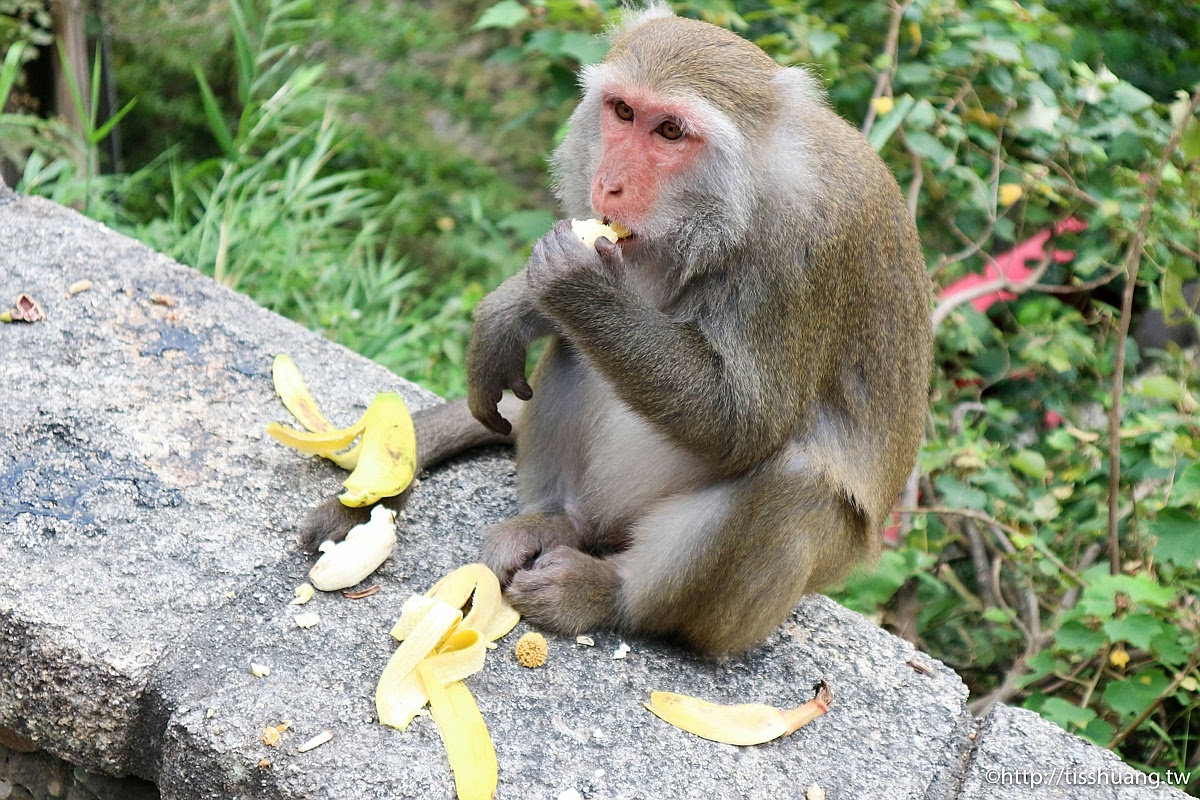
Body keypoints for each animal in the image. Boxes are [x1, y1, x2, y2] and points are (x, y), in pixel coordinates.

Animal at [302, 7, 936, 657]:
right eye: (624, 112)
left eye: (671, 132)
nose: (608, 184)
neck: (742, 199)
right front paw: (511, 309)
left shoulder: (802, 256)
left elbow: (747, 422)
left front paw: (577, 284)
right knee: (581, 349)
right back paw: (559, 520)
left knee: (795, 480)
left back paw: (608, 596)